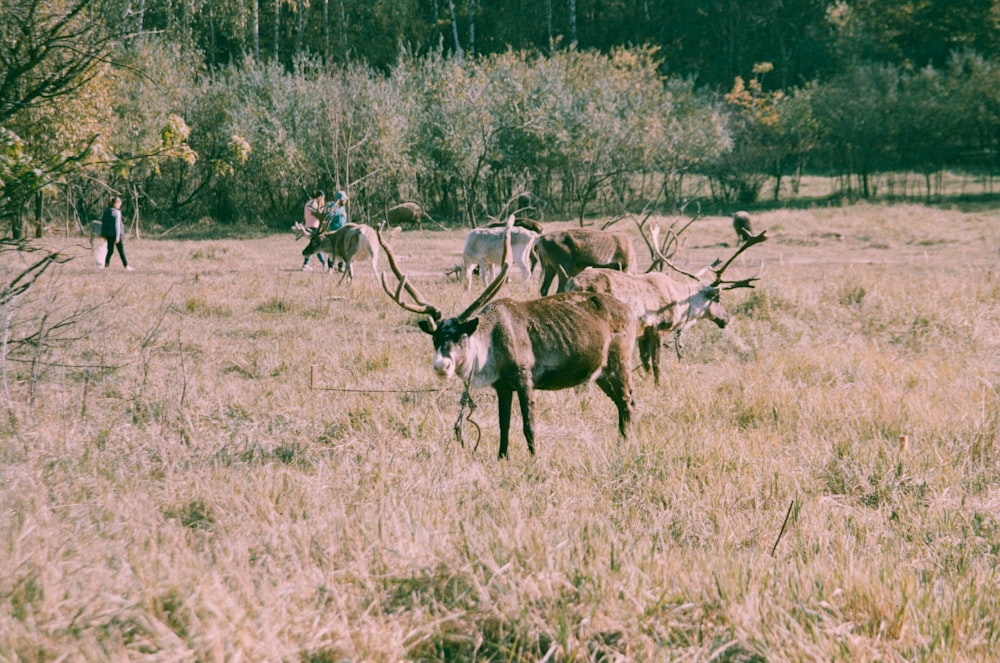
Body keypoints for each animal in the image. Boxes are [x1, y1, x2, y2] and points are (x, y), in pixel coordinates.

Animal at [376, 220, 632, 460]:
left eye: (462, 335)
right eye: (435, 337)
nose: (442, 365)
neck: (490, 348)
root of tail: (629, 310)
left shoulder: (525, 378)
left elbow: (528, 426)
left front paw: (534, 459)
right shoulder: (502, 386)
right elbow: (504, 425)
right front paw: (502, 457)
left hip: (619, 362)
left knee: (627, 401)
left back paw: (625, 445)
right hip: (600, 372)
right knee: (620, 403)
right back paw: (621, 442)